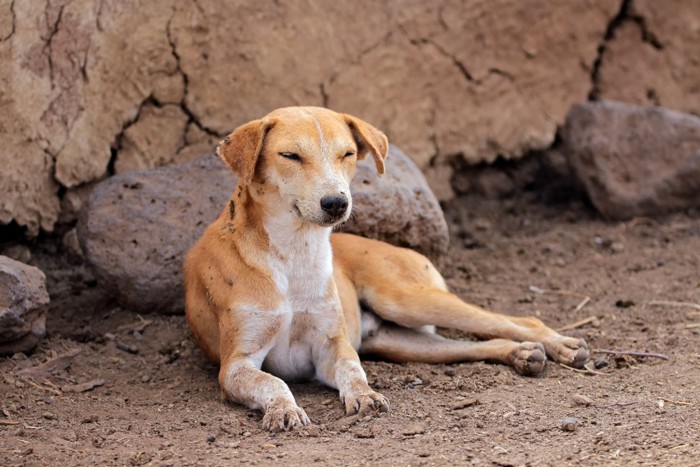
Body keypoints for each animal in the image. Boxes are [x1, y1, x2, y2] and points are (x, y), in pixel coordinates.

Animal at [183, 106, 588, 432]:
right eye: (290, 155)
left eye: (347, 154)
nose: (336, 203)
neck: (294, 252)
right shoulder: (235, 364)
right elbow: (273, 382)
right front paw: (285, 409)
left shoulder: (332, 347)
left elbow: (353, 371)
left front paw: (364, 395)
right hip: (405, 343)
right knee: (477, 344)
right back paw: (521, 354)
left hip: (406, 299)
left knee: (518, 320)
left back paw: (562, 345)